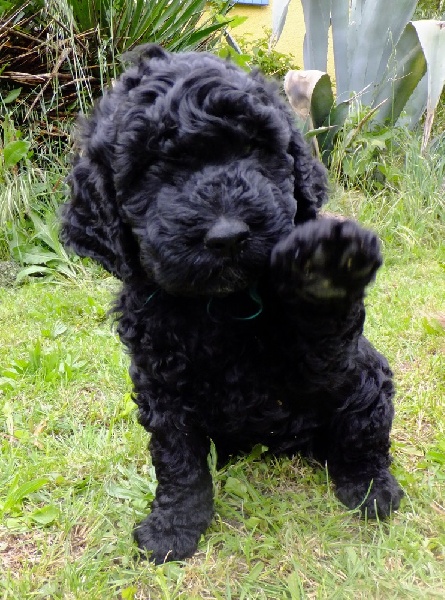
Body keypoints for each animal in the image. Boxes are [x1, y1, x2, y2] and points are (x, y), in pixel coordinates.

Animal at [61, 44, 403, 563]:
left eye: (255, 149)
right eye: (153, 169)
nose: (228, 235)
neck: (222, 306)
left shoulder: (324, 366)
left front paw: (324, 271)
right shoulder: (161, 384)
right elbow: (177, 460)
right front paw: (173, 529)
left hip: (368, 379)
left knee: (363, 438)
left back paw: (371, 489)